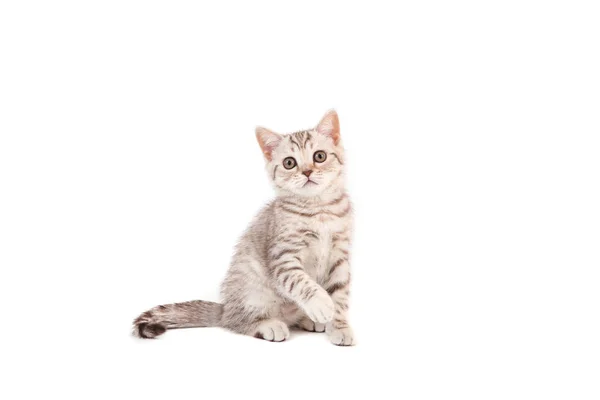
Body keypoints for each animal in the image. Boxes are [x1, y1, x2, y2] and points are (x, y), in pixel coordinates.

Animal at [134, 111, 354, 346]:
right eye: (289, 163)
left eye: (319, 156)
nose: (307, 172)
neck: (319, 210)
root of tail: (224, 308)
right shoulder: (283, 257)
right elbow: (301, 282)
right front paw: (322, 304)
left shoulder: (340, 256)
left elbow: (340, 294)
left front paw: (340, 326)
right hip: (252, 292)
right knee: (236, 322)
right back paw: (269, 325)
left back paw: (308, 320)